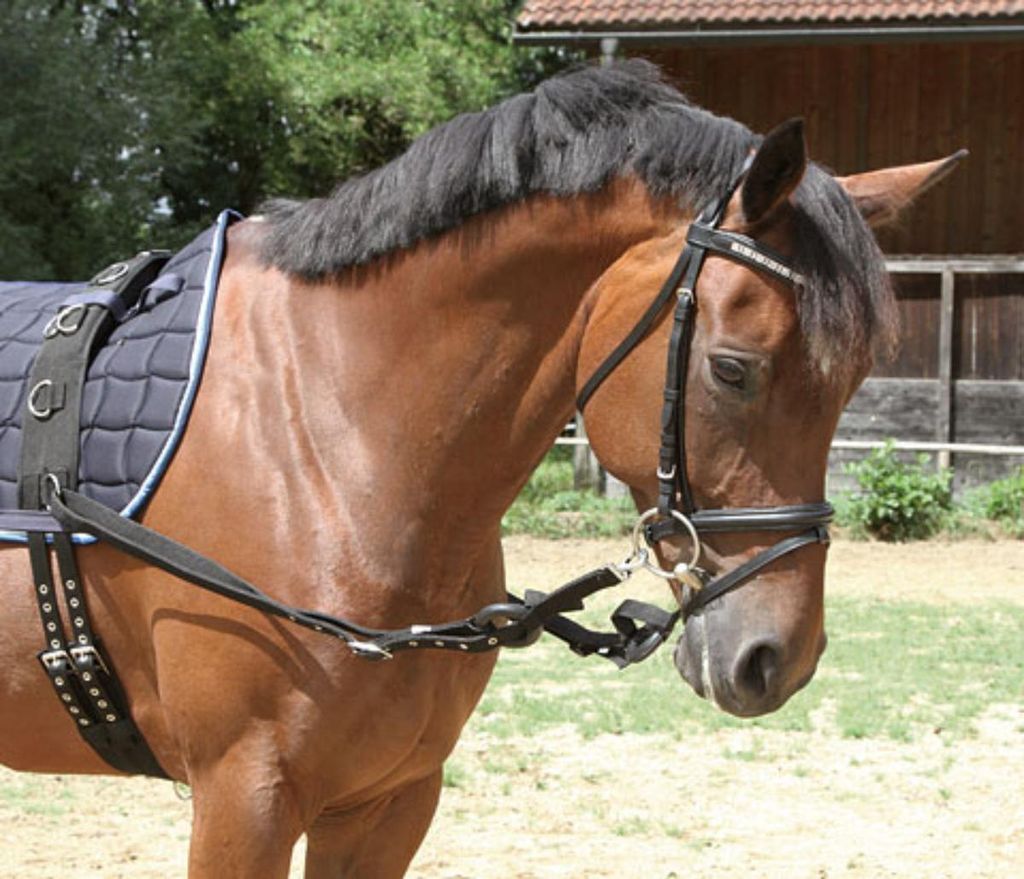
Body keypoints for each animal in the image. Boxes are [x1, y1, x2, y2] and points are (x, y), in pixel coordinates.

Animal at [0, 60, 961, 877]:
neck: (324, 436)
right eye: (732, 369)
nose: (776, 659)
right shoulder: (245, 797)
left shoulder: (390, 799)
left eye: (855, 379)